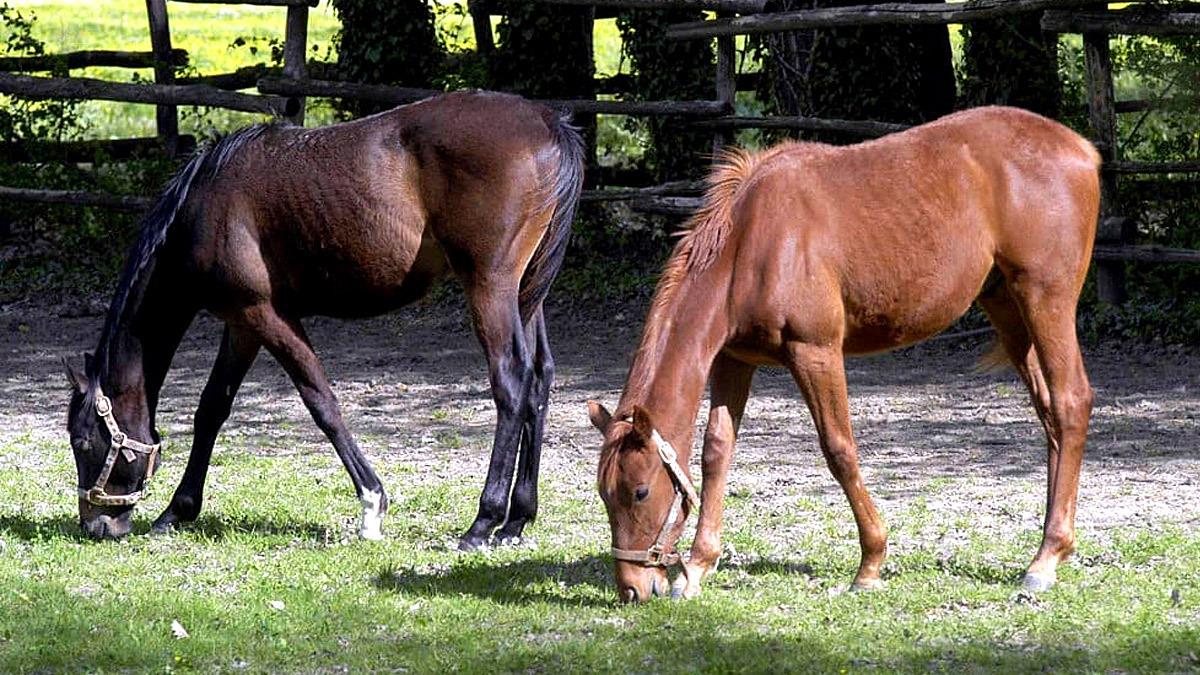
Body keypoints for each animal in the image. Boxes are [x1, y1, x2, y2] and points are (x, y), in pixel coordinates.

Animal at [63, 90, 583, 547]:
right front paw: (178, 510)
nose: (97, 525)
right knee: (539, 379)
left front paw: (372, 505)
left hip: (489, 287)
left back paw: (483, 522)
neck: (204, 206)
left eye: (82, 442)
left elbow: (321, 401)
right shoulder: (242, 325)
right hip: (524, 295)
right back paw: (516, 520)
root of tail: (547, 122)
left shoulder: (267, 314)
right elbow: (212, 408)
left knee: (510, 383)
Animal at [588, 106, 1099, 605]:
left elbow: (839, 449)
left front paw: (870, 563)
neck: (751, 244)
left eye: (640, 491)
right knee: (1050, 414)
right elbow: (717, 451)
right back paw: (1053, 547)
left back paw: (1045, 560)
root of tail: (1082, 150)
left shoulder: (815, 353)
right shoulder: (734, 360)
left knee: (1071, 403)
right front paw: (696, 567)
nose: (632, 589)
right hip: (1008, 310)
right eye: (604, 494)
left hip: (1045, 300)